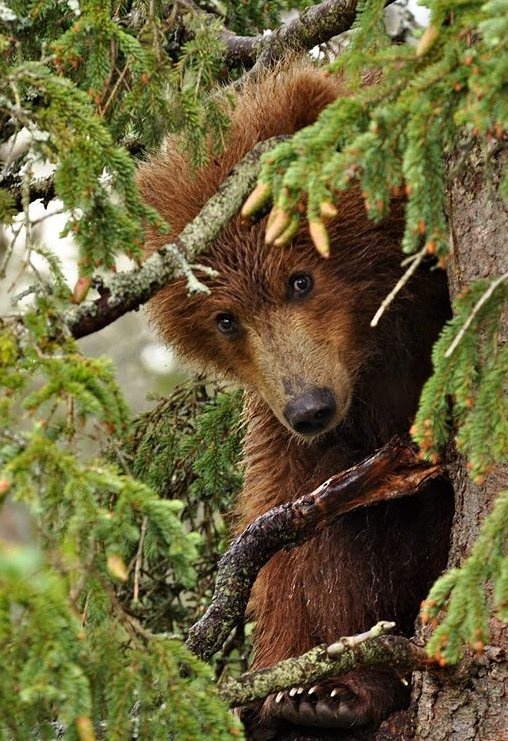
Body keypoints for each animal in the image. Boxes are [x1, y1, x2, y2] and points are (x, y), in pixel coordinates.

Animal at [137, 64, 454, 739]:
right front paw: (303, 682)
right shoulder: (297, 433)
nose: (311, 407)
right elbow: (296, 545)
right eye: (225, 319)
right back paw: (333, 693)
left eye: (300, 278)